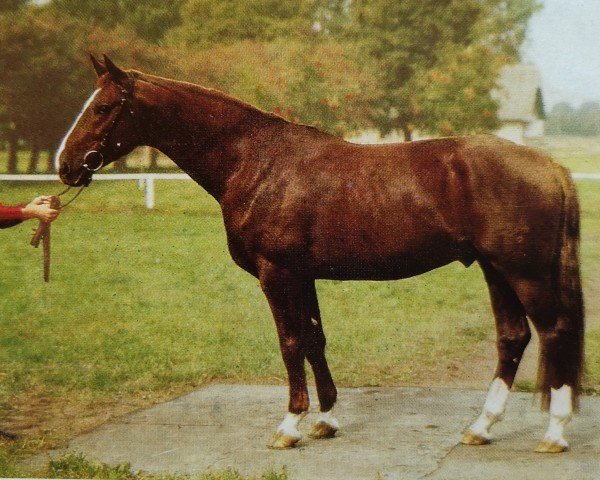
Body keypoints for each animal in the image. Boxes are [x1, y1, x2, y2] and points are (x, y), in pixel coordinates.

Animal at [55, 56, 580, 454]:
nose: (65, 165)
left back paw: (554, 433)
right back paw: (480, 428)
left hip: (524, 273)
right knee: (513, 338)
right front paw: (326, 419)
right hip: (497, 270)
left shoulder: (277, 274)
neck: (257, 162)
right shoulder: (302, 276)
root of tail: (550, 166)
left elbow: (290, 343)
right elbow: (315, 340)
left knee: (553, 332)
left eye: (103, 107)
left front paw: (290, 426)